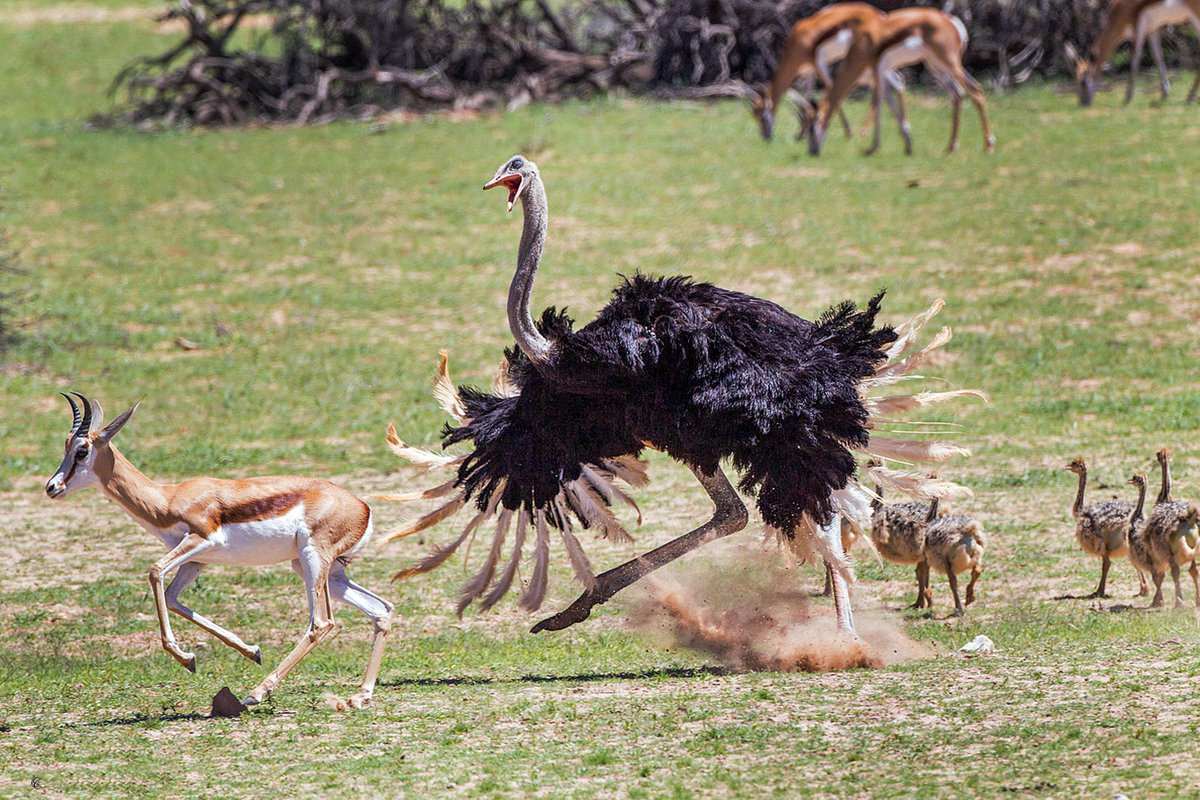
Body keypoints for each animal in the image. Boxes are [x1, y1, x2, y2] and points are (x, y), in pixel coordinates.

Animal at [44, 392, 393, 711]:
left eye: (82, 450)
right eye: (65, 447)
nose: (52, 487)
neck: (167, 499)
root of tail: (363, 507)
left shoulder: (200, 541)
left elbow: (154, 572)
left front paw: (186, 658)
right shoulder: (196, 562)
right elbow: (172, 598)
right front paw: (248, 651)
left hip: (312, 560)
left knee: (321, 623)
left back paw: (256, 693)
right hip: (326, 571)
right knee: (381, 610)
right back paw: (360, 696)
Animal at [750, 3, 904, 141]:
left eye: (761, 115)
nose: (766, 138)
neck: (801, 39)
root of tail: (879, 15)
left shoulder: (819, 63)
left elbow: (830, 88)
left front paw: (848, 132)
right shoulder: (809, 70)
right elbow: (808, 98)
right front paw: (801, 133)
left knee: (894, 81)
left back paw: (866, 133)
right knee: (894, 81)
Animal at [807, 7, 994, 157]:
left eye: (812, 127)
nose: (812, 152)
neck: (864, 41)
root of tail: (950, 20)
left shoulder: (875, 70)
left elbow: (877, 103)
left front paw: (872, 148)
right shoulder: (880, 72)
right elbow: (884, 101)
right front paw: (903, 145)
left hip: (949, 62)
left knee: (975, 90)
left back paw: (988, 146)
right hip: (936, 64)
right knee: (957, 93)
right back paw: (951, 147)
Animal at [1065, 0, 1200, 106]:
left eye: (1083, 82)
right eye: (1075, 81)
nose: (1082, 103)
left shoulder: (1138, 26)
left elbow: (1135, 60)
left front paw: (1127, 99)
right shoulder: (1151, 29)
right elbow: (1158, 57)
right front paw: (1164, 94)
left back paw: (1190, 98)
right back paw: (1190, 98)